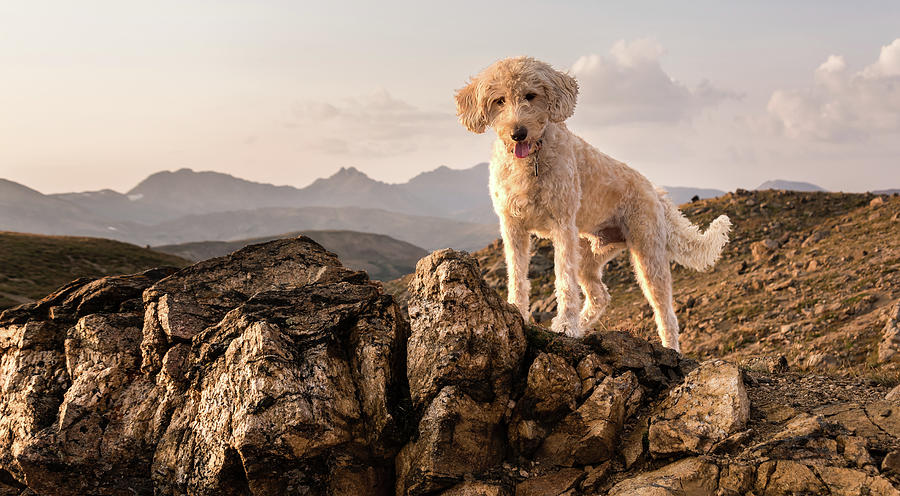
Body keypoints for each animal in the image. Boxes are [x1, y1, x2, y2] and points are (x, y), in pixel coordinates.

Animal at [458, 57, 732, 352]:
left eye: (530, 95)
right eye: (499, 100)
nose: (518, 133)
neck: (531, 160)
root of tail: (655, 191)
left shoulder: (562, 226)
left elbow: (564, 280)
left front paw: (566, 325)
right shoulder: (513, 227)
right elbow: (517, 276)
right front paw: (519, 312)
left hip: (648, 257)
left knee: (665, 313)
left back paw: (669, 348)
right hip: (589, 254)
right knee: (600, 295)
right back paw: (583, 324)